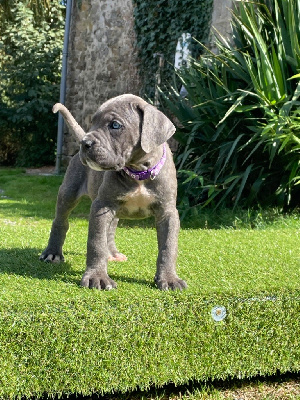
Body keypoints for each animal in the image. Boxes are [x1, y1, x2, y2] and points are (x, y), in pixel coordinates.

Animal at [39, 94, 185, 290]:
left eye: (115, 125)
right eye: (92, 122)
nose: (85, 143)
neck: (138, 171)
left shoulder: (167, 212)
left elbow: (168, 246)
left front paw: (169, 278)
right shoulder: (102, 206)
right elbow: (96, 242)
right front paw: (97, 277)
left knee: (110, 230)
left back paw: (113, 253)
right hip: (68, 192)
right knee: (60, 221)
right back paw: (52, 253)